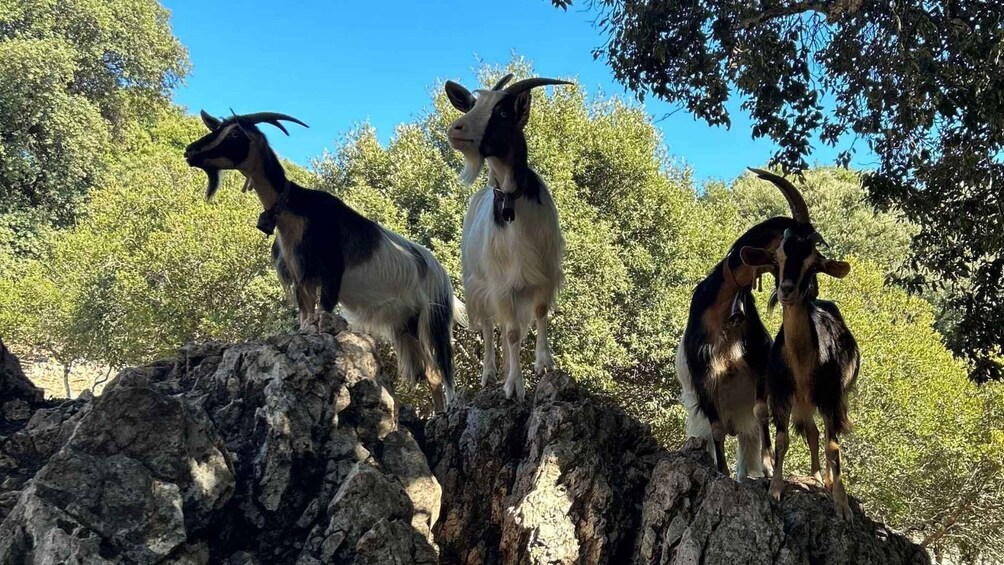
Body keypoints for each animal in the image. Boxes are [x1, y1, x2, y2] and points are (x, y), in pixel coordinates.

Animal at [184, 110, 465, 411]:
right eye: (218, 129)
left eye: (235, 134)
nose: (190, 152)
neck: (297, 209)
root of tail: (440, 273)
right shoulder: (303, 280)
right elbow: (306, 320)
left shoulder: (331, 275)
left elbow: (323, 313)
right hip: (406, 322)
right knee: (431, 373)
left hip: (433, 317)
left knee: (442, 369)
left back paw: (450, 408)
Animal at [443, 75, 570, 399]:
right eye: (472, 106)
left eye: (501, 113)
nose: (455, 129)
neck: (512, 198)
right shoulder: (502, 283)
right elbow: (511, 333)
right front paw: (514, 385)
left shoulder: (544, 273)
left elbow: (540, 313)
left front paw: (543, 364)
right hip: (478, 283)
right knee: (490, 328)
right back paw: (489, 374)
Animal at [674, 165, 823, 479]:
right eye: (786, 250)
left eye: (813, 256)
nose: (812, 290)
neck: (723, 309)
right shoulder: (704, 377)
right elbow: (716, 430)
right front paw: (720, 470)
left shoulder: (758, 365)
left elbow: (762, 413)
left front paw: (768, 468)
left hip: (744, 427)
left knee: (747, 444)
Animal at [742, 209, 859, 517]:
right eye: (777, 258)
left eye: (813, 264)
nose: (787, 290)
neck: (804, 360)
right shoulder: (782, 394)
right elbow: (783, 440)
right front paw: (775, 488)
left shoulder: (830, 397)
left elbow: (834, 447)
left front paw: (841, 503)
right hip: (804, 403)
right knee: (813, 432)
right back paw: (816, 476)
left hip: (833, 397)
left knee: (825, 435)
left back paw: (826, 480)